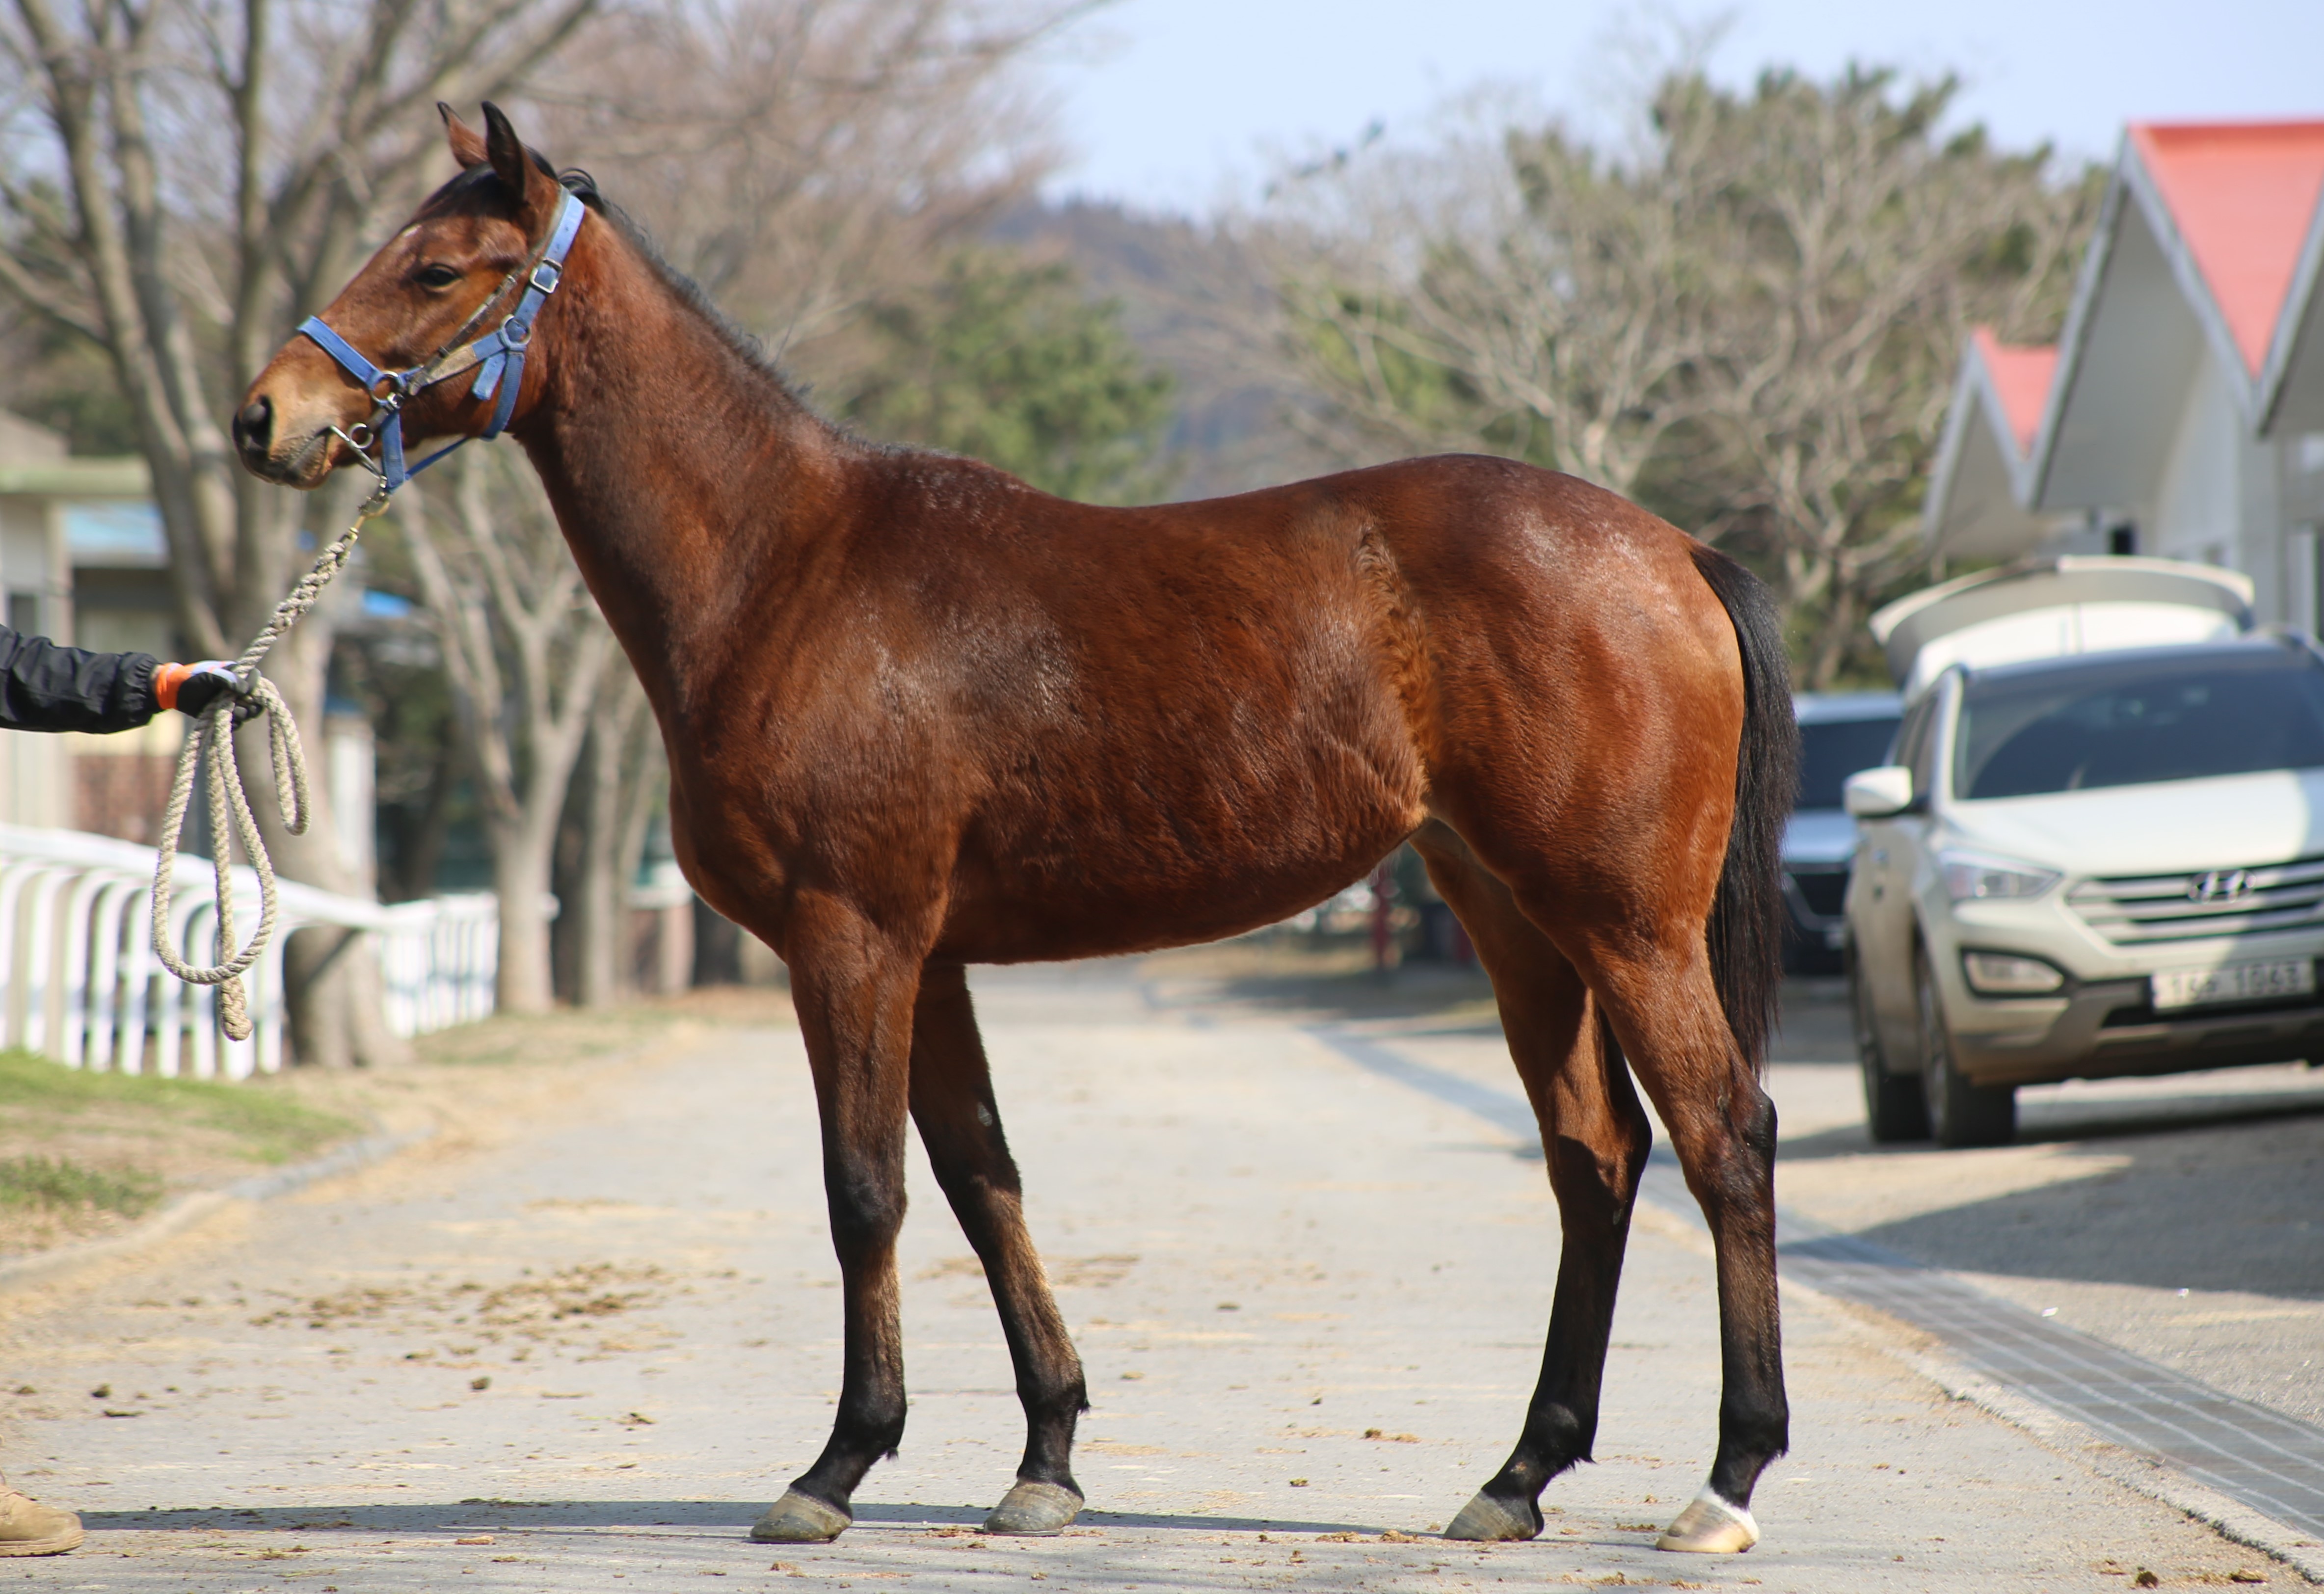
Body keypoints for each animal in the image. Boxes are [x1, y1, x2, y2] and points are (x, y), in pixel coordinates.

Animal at [236, 103, 1794, 1561]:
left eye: (437, 267)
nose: (264, 414)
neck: (787, 569)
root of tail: (1671, 551)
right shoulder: (928, 961)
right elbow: (981, 1181)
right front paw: (1045, 1461)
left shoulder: (851, 941)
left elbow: (864, 1192)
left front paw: (836, 1468)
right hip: (1514, 920)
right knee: (1592, 1160)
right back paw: (1516, 1476)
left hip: (1626, 927)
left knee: (1724, 1136)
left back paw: (1723, 1482)